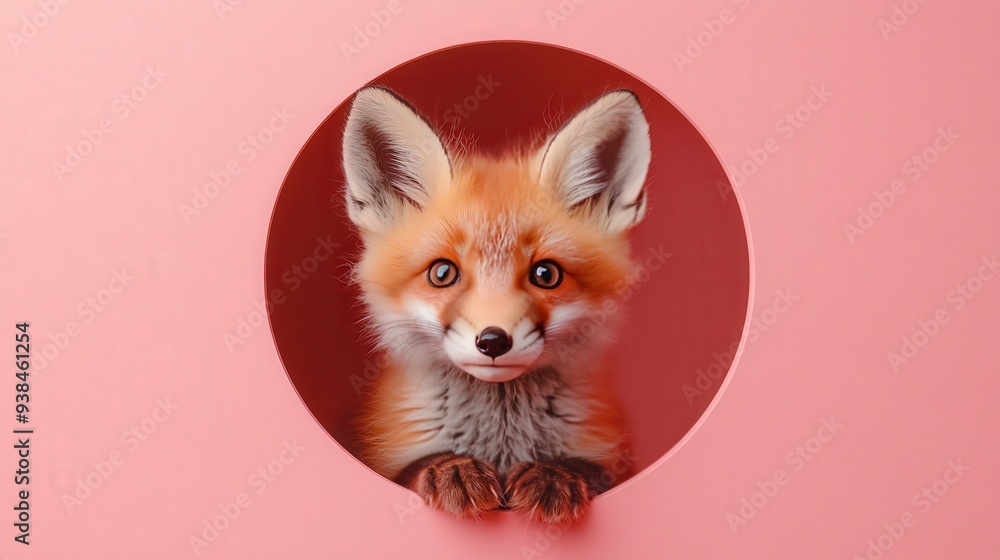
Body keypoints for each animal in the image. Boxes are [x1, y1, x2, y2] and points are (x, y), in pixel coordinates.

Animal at [341, 84, 652, 525]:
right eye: (442, 273)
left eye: (546, 274)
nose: (493, 341)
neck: (501, 439)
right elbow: (412, 469)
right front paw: (451, 467)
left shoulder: (616, 462)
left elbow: (592, 470)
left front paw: (554, 473)